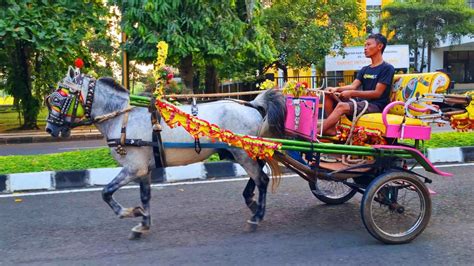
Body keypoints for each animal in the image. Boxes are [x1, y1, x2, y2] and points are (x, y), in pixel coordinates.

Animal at [44, 66, 286, 239]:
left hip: (242, 153)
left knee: (262, 179)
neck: (122, 117)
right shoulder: (144, 169)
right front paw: (143, 223)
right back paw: (252, 203)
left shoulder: (133, 168)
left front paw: (131, 212)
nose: (50, 129)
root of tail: (253, 105)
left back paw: (256, 217)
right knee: (259, 176)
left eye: (57, 98)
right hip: (246, 153)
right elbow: (145, 196)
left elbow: (106, 192)